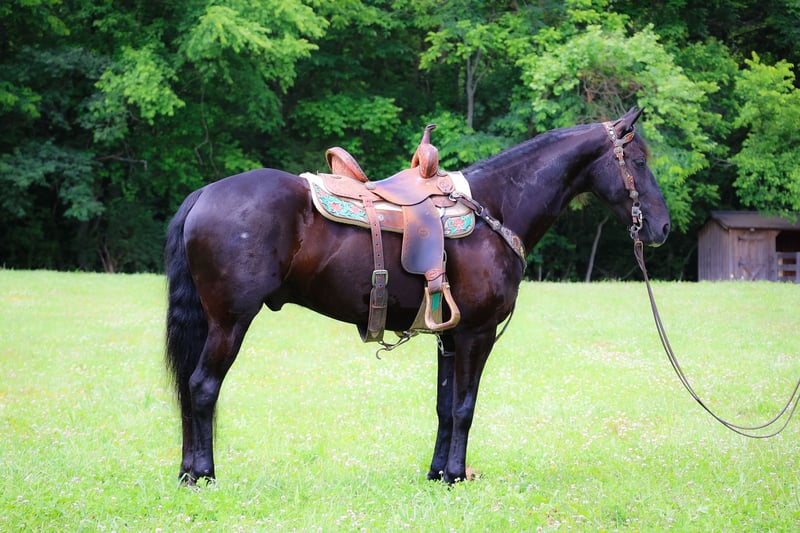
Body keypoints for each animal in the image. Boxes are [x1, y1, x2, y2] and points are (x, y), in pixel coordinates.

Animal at [164, 107, 670, 484]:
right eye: (639, 161)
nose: (663, 227)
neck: (496, 206)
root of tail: (204, 193)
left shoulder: (450, 336)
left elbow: (445, 407)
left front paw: (437, 474)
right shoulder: (476, 333)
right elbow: (465, 407)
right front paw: (457, 476)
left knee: (189, 388)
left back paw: (188, 472)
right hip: (230, 321)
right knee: (202, 387)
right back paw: (203, 474)